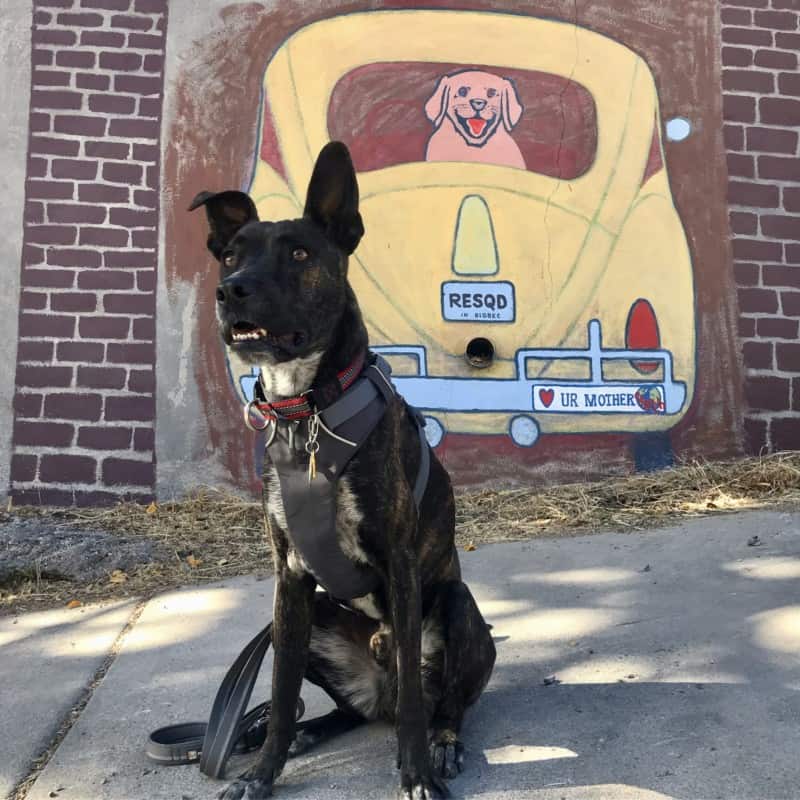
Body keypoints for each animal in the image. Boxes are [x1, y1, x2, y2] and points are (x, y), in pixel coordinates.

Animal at [191, 144, 496, 800]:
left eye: (300, 254)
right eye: (230, 255)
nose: (232, 289)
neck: (305, 411)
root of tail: (377, 687)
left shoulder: (400, 565)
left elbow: (415, 706)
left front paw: (417, 774)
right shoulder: (288, 581)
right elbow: (280, 691)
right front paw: (262, 774)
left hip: (456, 604)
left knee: (442, 702)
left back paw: (444, 743)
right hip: (307, 625)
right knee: (344, 710)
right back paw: (299, 733)